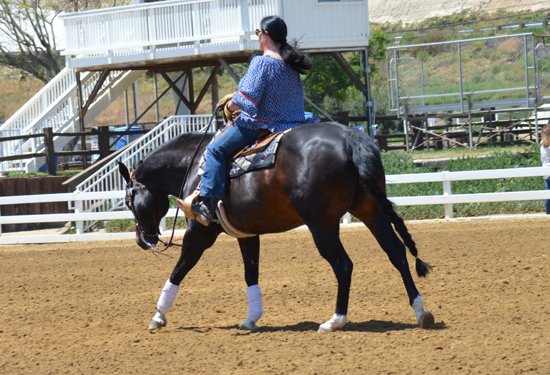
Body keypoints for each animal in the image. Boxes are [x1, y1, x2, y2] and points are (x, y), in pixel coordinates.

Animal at [119, 122, 436, 334]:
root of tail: (349, 136)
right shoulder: (247, 233)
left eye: (128, 199)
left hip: (322, 224)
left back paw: (334, 320)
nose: (142, 240)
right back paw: (421, 312)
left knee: (343, 265)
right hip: (371, 212)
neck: (195, 165)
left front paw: (158, 316)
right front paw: (251, 318)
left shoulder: (200, 232)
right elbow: (251, 273)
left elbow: (179, 269)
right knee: (397, 253)